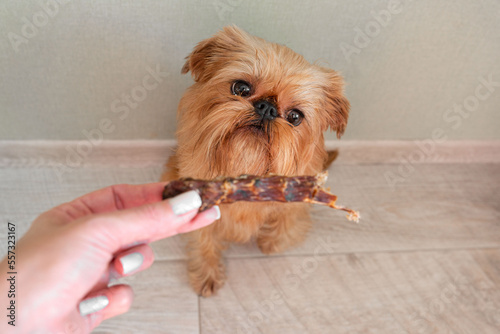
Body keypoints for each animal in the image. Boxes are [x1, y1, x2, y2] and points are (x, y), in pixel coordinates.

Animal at [162, 26, 350, 298]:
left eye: (295, 117)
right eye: (241, 88)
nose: (267, 108)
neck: (245, 169)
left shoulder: (296, 202)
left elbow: (284, 230)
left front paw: (268, 242)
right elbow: (203, 239)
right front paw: (206, 272)